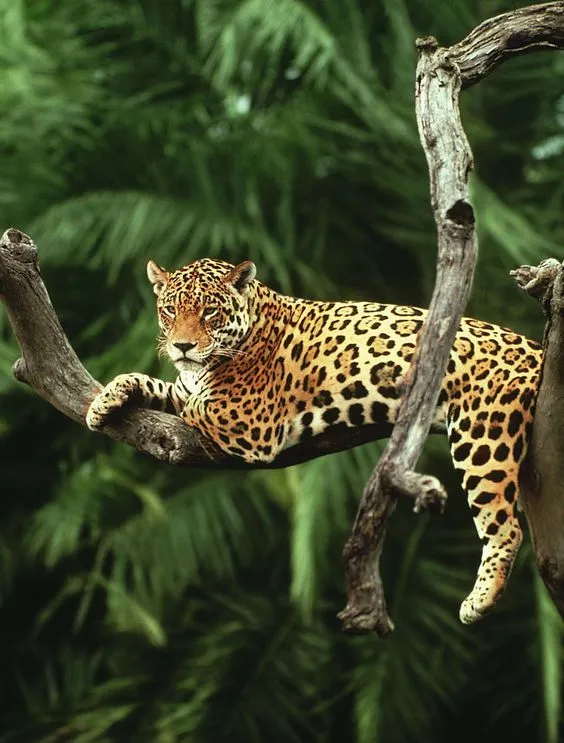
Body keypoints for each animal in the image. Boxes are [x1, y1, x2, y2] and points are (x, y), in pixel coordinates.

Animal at [87, 257, 542, 625]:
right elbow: (156, 384)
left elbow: (194, 405)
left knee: (505, 527)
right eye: (169, 310)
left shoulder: (250, 419)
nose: (182, 345)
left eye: (209, 311)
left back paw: (479, 601)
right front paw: (103, 401)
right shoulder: (188, 384)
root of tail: (538, 350)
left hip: (482, 434)